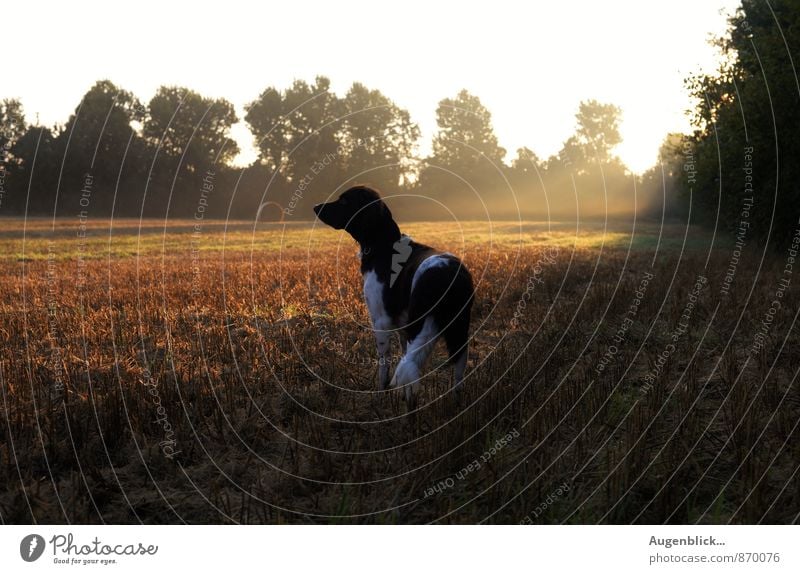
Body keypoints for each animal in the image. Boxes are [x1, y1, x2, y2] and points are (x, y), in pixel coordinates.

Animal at [314, 187, 476, 408]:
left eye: (345, 201)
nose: (315, 207)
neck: (384, 246)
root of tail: (450, 275)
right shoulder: (402, 324)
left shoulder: (380, 321)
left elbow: (385, 365)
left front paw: (382, 395)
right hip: (458, 328)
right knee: (456, 370)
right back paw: (455, 405)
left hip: (421, 324)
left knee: (411, 366)